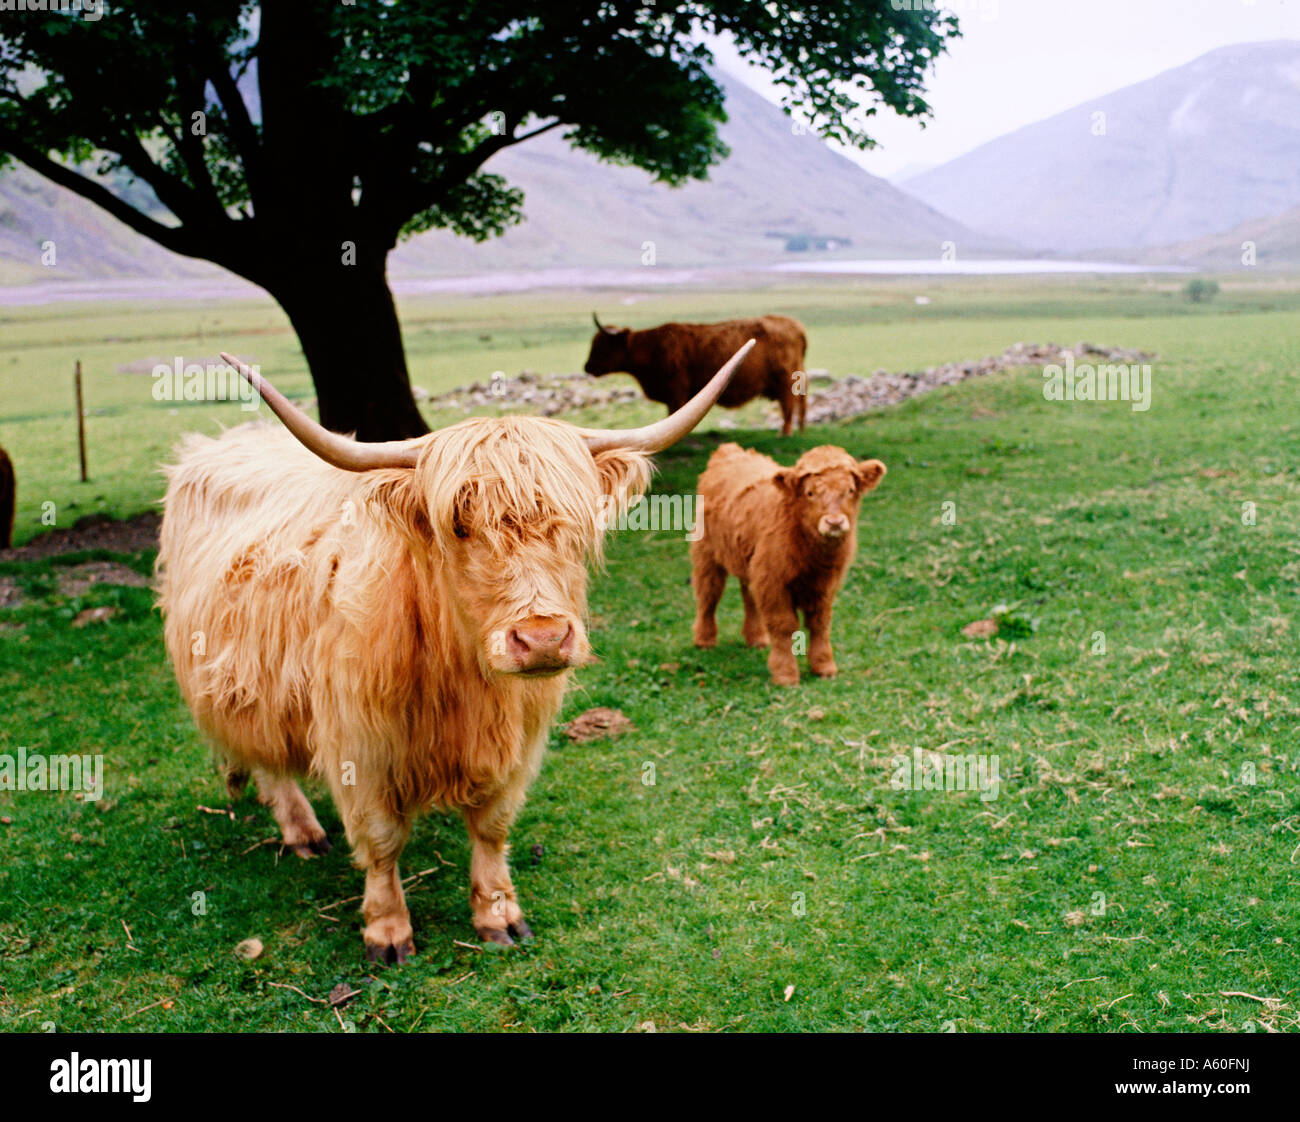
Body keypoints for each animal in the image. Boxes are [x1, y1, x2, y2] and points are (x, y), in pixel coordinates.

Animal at [156, 341, 753, 963]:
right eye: (460, 526)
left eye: (574, 523)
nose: (542, 638)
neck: (462, 682)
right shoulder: (359, 746)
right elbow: (380, 839)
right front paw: (388, 931)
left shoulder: (518, 741)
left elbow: (492, 827)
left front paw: (499, 916)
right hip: (237, 682)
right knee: (267, 757)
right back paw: (303, 833)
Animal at [585, 313, 809, 436]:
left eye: (602, 345)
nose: (587, 367)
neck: (651, 348)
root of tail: (795, 325)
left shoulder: (676, 391)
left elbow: (674, 415)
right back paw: (800, 430)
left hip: (785, 380)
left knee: (788, 406)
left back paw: (785, 433)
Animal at [690, 442, 886, 686]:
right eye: (810, 493)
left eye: (850, 490)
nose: (834, 522)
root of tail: (730, 451)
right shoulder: (773, 582)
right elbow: (784, 625)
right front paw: (785, 674)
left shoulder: (824, 584)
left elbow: (820, 622)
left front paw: (824, 666)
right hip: (706, 554)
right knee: (708, 594)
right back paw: (704, 640)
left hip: (750, 561)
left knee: (748, 596)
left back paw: (756, 638)